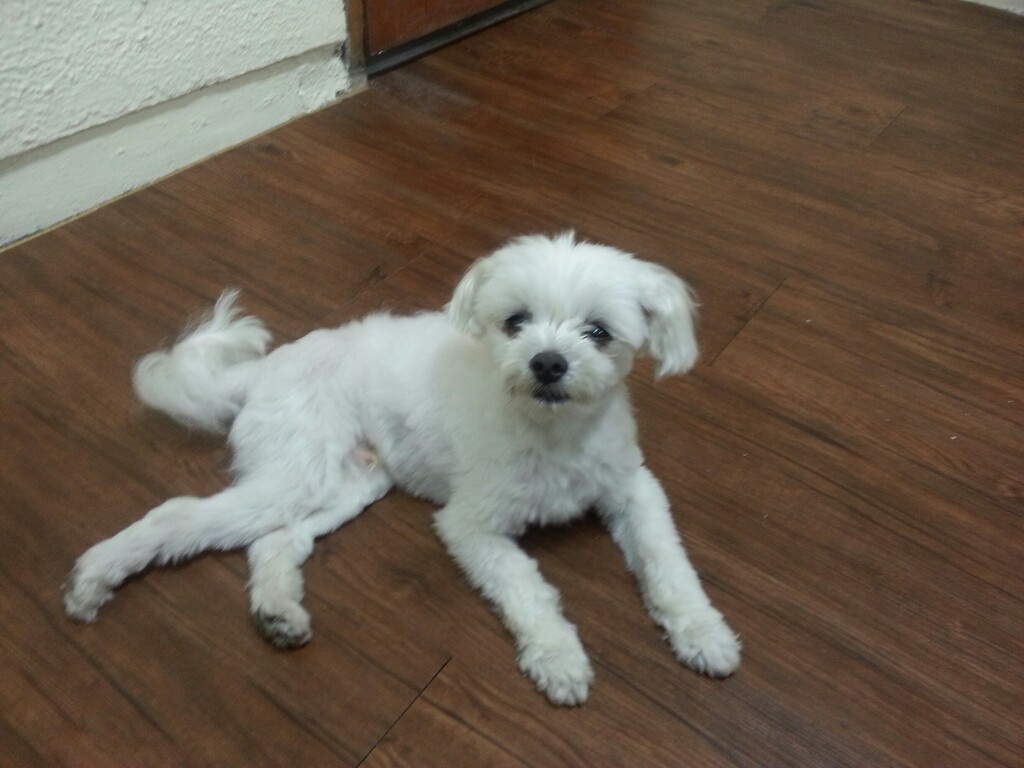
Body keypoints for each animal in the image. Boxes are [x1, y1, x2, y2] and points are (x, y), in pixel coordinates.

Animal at [63, 232, 740, 705]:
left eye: (599, 332)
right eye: (515, 321)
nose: (548, 362)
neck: (555, 433)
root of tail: (266, 367)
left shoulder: (633, 490)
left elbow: (667, 563)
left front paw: (703, 632)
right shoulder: (471, 525)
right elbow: (525, 587)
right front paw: (557, 656)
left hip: (346, 482)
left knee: (275, 542)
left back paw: (278, 611)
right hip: (297, 469)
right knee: (180, 515)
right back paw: (96, 575)